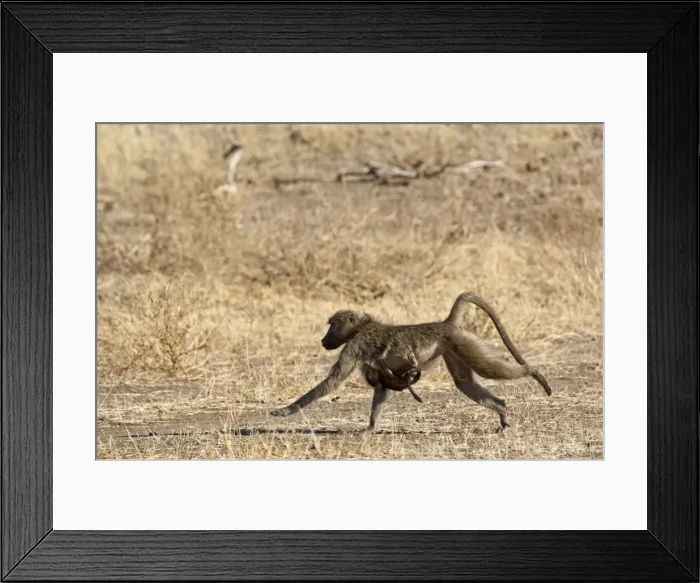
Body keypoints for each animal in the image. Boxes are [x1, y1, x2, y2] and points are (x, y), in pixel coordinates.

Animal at [269, 292, 552, 432]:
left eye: (331, 325)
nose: (323, 340)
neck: (362, 326)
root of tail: (446, 323)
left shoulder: (354, 346)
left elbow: (331, 382)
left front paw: (284, 411)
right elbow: (380, 388)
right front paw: (370, 429)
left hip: (462, 342)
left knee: (488, 369)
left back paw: (534, 372)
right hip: (453, 348)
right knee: (464, 382)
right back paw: (502, 410)